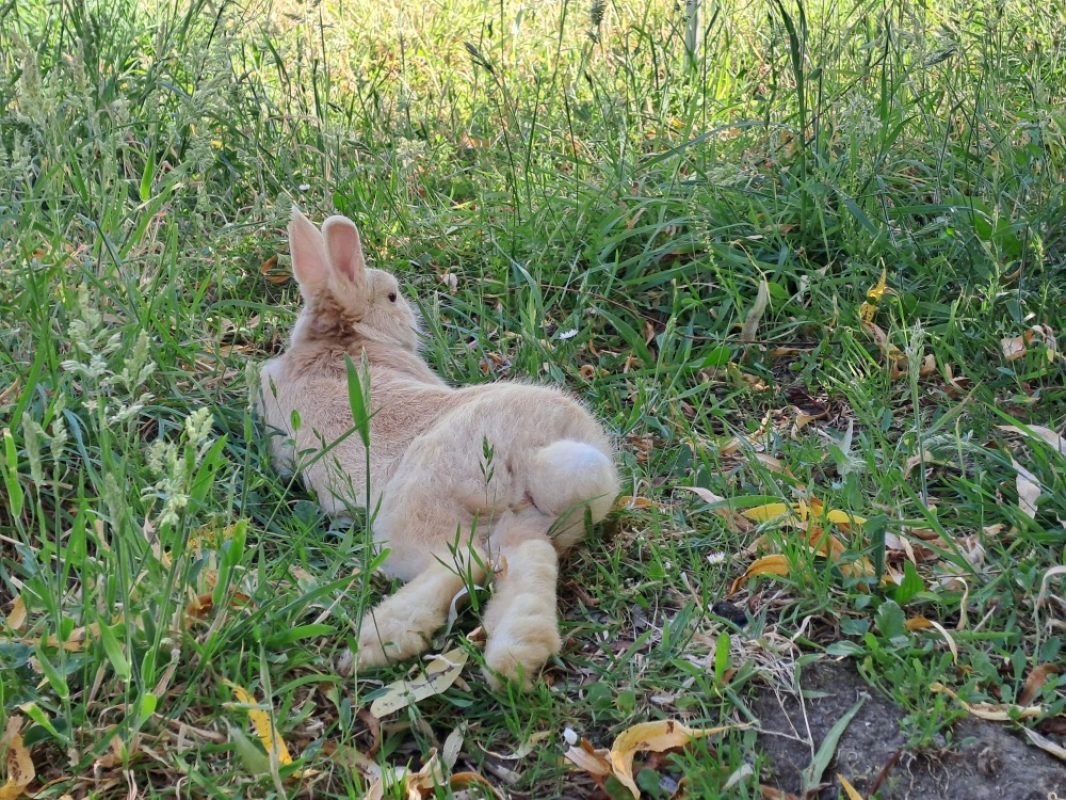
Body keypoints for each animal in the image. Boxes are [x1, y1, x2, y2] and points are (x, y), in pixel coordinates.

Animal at [257, 208, 619, 688]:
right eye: (393, 296)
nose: (414, 319)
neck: (338, 338)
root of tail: (532, 459)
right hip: (520, 523)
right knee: (514, 560)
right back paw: (512, 659)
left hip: (416, 507)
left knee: (465, 559)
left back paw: (376, 644)